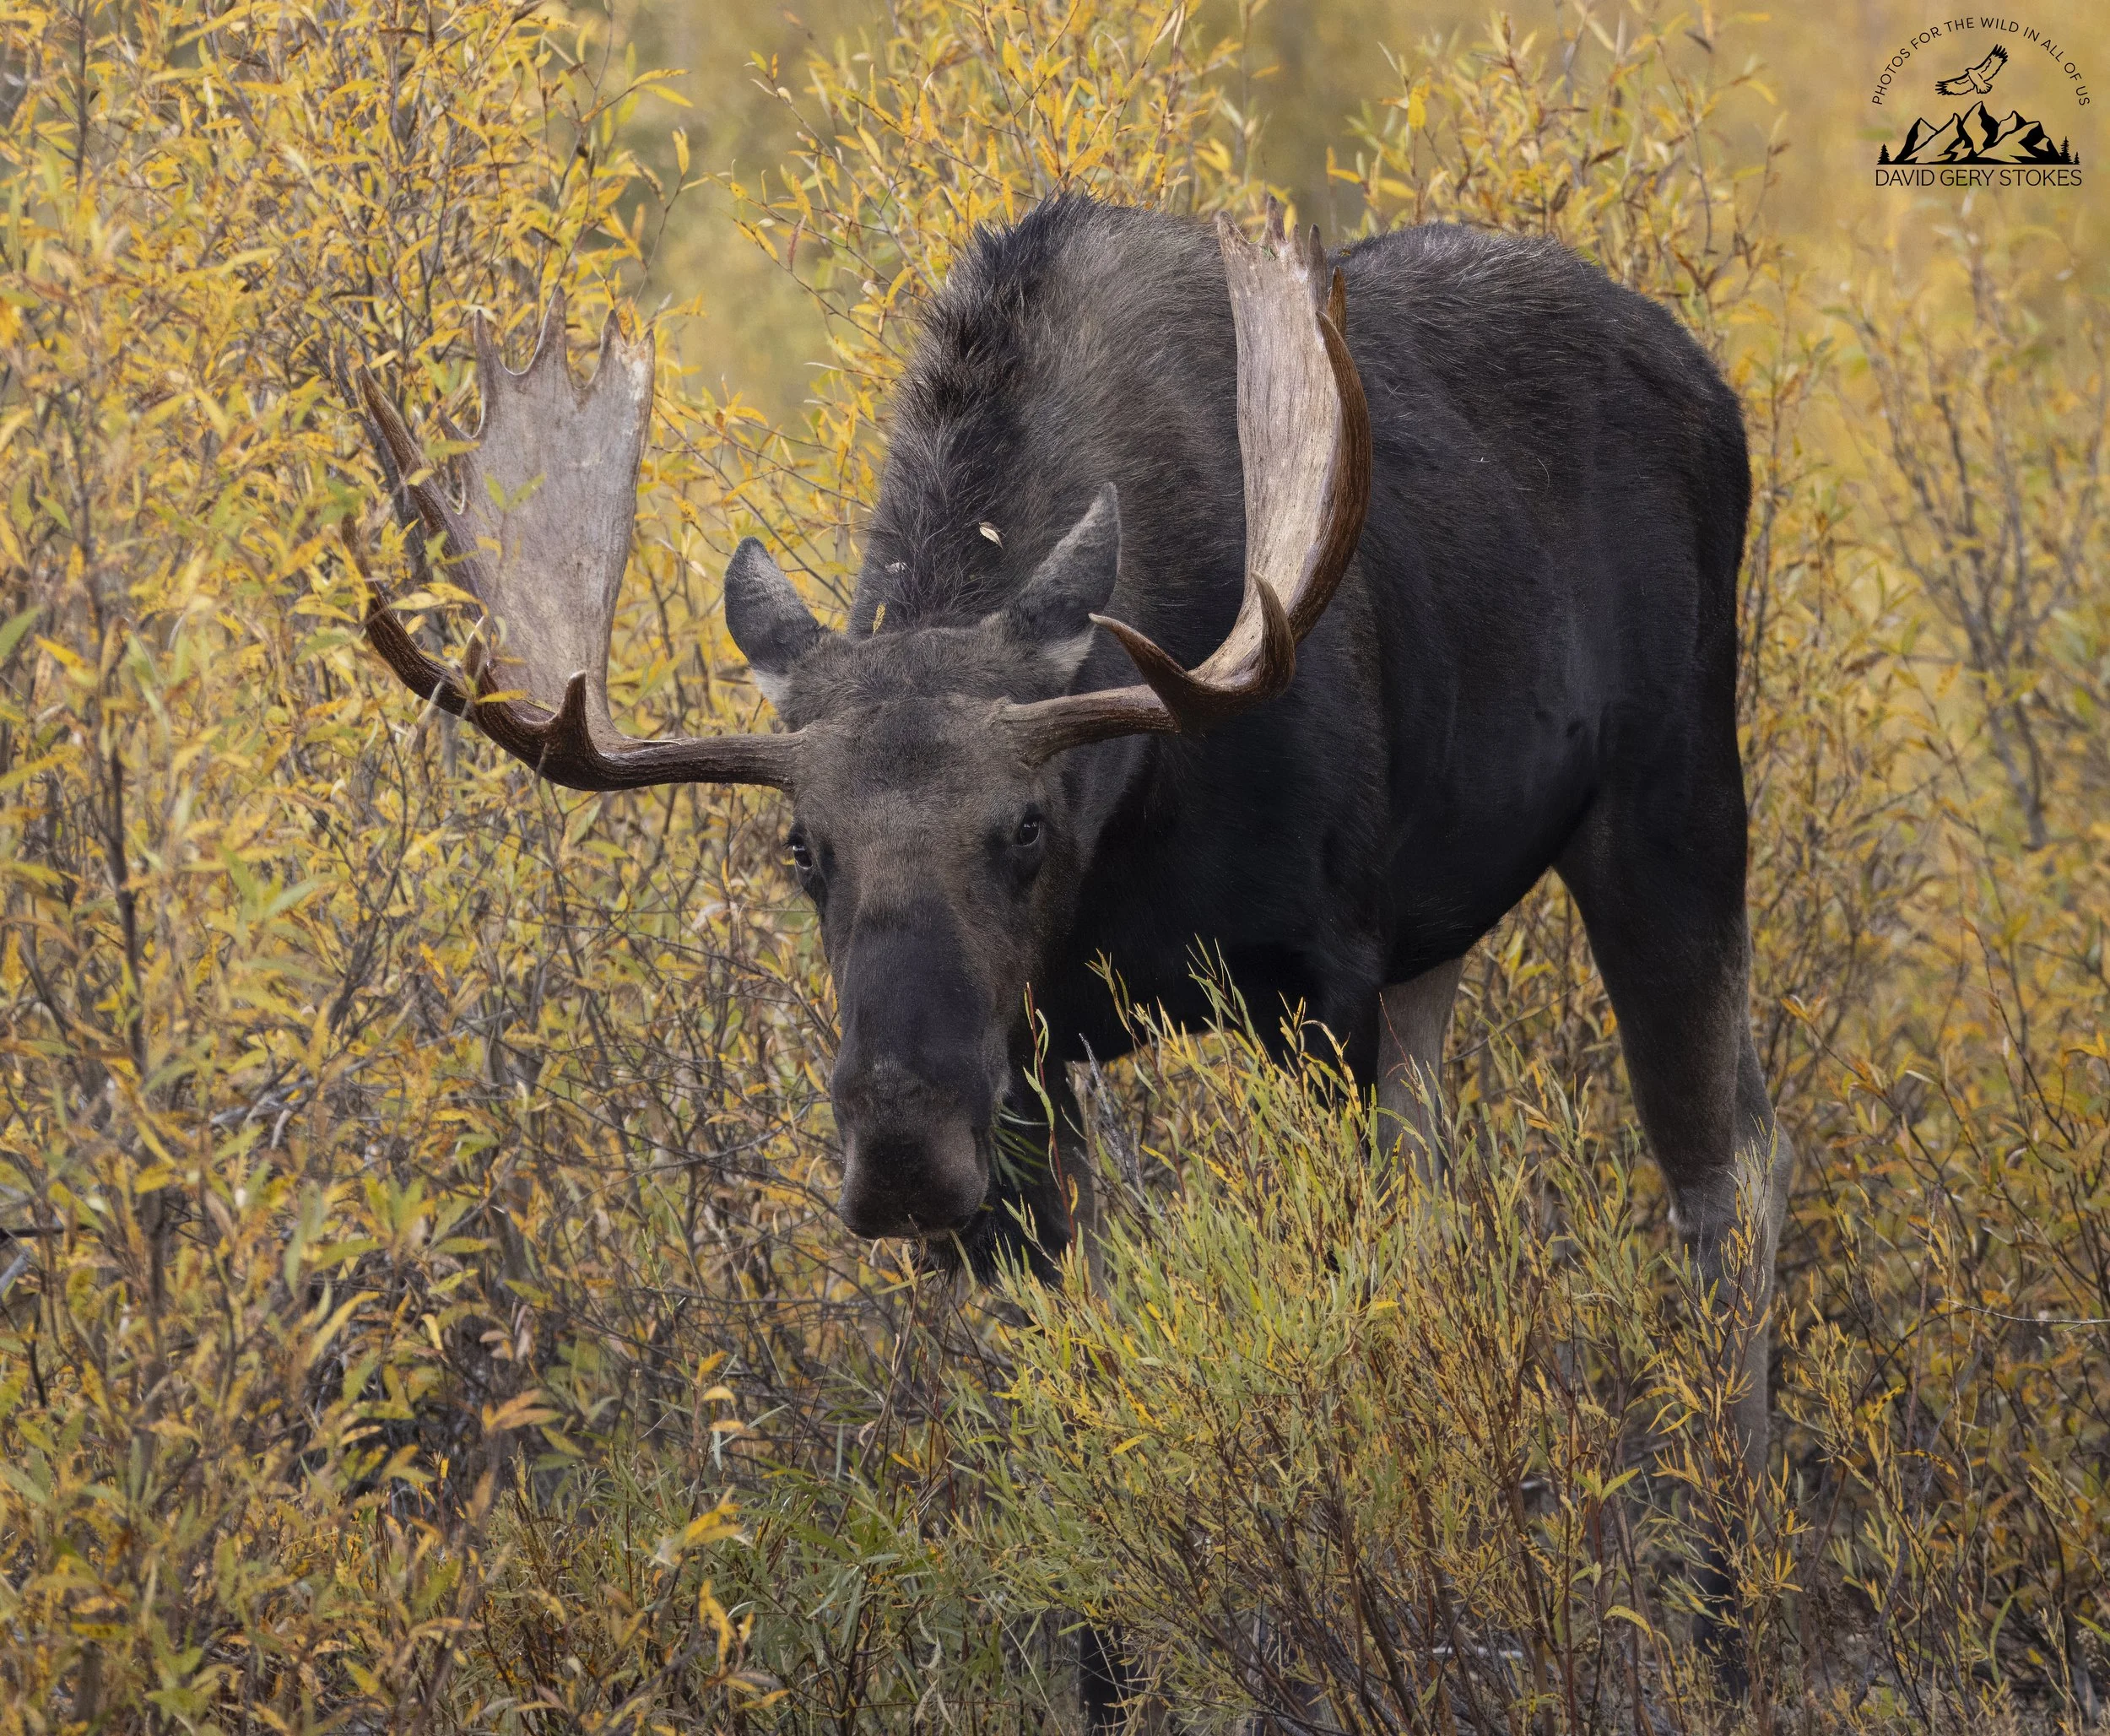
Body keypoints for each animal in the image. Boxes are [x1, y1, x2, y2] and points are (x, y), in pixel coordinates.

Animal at [353, 199, 1794, 1717]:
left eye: (1027, 823)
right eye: (802, 845)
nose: (901, 1148)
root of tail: (1711, 383)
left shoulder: (1321, 972)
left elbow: (1326, 1314)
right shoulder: (1039, 1059)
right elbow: (1072, 1374)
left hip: (1668, 799)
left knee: (1727, 1178)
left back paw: (1730, 1614)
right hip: (1437, 947)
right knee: (1465, 1191)